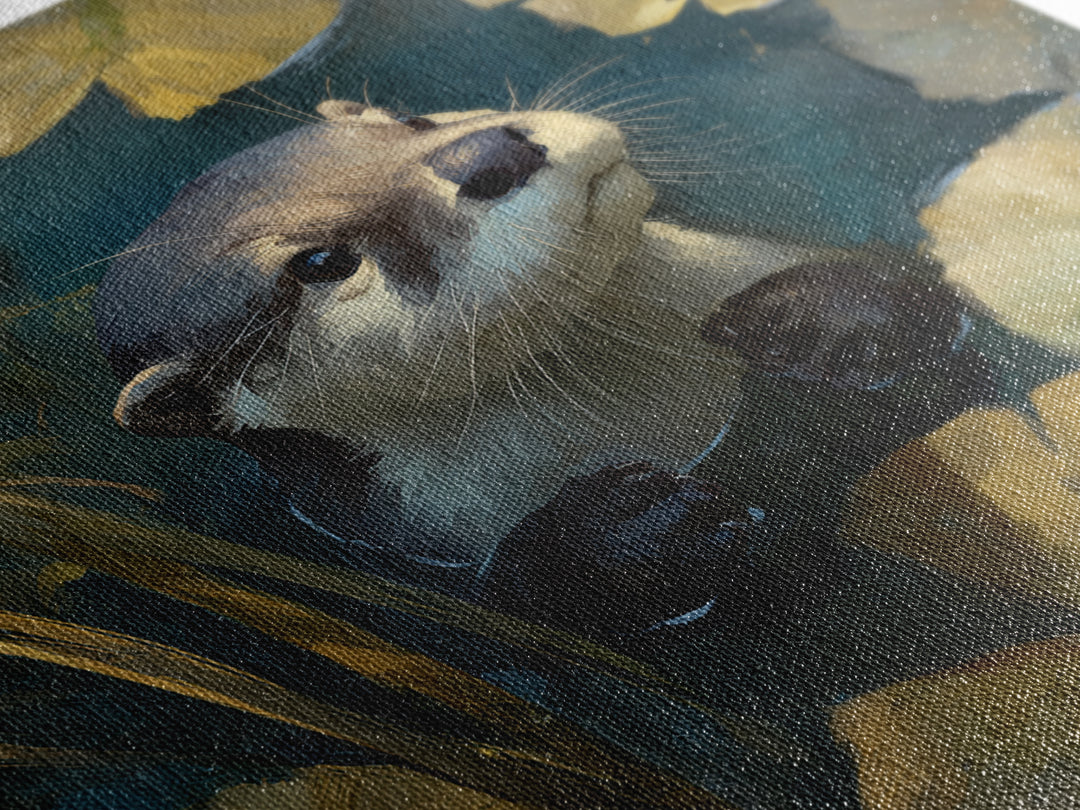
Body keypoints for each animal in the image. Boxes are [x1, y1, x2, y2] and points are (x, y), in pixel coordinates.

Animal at [93, 100, 964, 593]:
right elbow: (519, 584)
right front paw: (645, 525)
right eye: (320, 263)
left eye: (416, 124)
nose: (491, 153)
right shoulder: (420, 535)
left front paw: (822, 319)